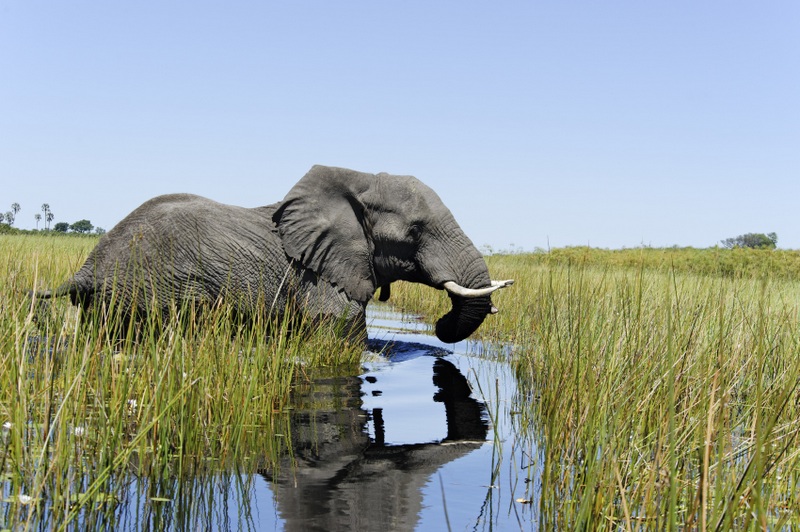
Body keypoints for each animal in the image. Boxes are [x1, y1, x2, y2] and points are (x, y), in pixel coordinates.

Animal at [36, 164, 512, 342]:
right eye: (415, 231)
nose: (440, 324)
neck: (357, 181)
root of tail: (87, 266)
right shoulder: (319, 278)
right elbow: (341, 333)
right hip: (154, 289)